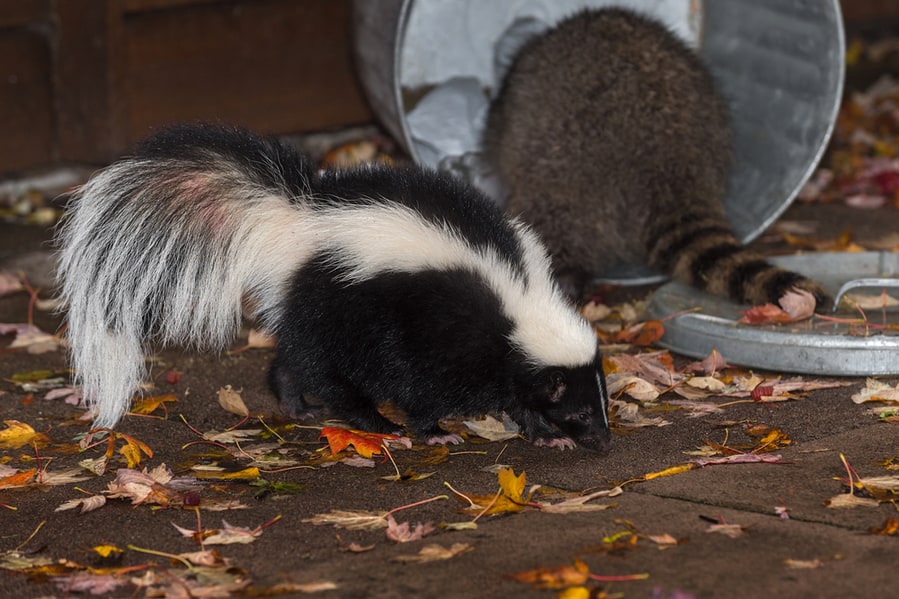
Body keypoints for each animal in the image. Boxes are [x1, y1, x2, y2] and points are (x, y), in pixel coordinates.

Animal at [59, 123, 612, 450]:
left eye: (603, 401)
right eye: (583, 410)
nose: (606, 441)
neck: (519, 300)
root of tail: (297, 221)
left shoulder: (505, 354)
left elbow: (518, 394)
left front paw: (543, 434)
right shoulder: (443, 333)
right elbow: (422, 389)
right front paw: (433, 432)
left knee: (293, 358)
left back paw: (295, 403)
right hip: (341, 305)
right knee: (323, 367)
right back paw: (372, 423)